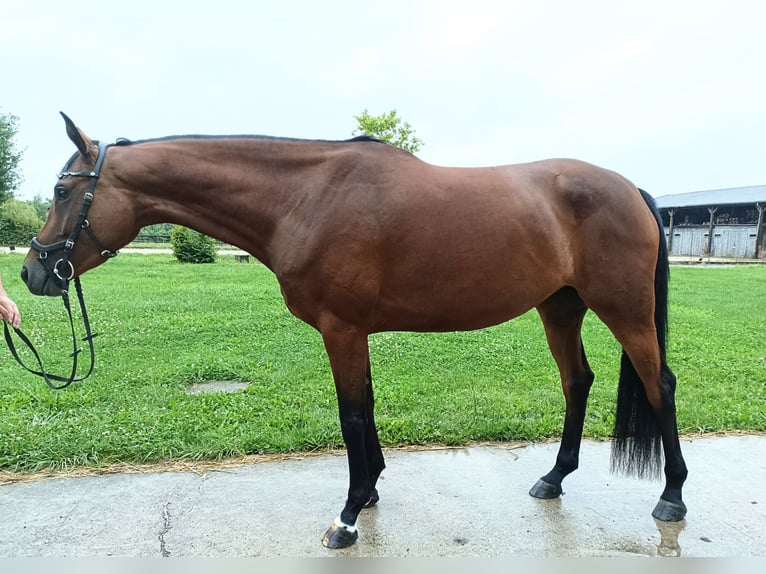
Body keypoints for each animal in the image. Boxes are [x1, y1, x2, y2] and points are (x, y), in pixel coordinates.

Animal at [21, 115, 688, 552]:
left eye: (61, 190)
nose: (32, 272)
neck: (303, 198)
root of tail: (630, 189)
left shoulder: (340, 329)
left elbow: (350, 415)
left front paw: (345, 518)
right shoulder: (356, 331)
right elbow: (364, 408)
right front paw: (367, 493)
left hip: (624, 310)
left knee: (660, 385)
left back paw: (672, 496)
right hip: (560, 309)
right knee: (578, 382)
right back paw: (554, 479)